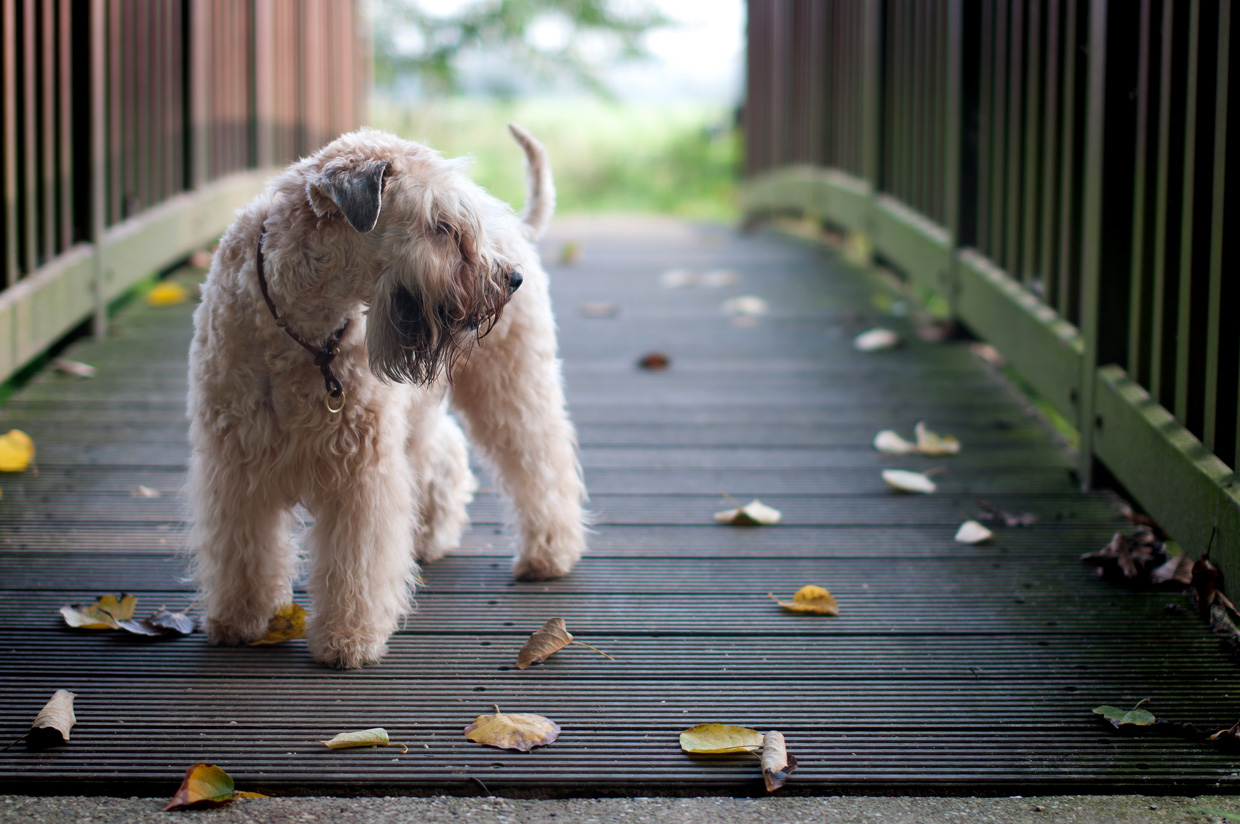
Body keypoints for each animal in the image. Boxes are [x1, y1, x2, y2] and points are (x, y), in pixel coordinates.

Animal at [186, 127, 587, 669]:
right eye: (441, 226)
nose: (511, 279)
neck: (304, 329)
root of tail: (516, 228)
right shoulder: (235, 461)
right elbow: (242, 547)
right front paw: (240, 617)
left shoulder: (360, 468)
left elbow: (357, 561)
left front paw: (348, 638)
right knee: (444, 453)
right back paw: (431, 534)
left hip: (513, 387)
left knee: (539, 462)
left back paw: (548, 553)